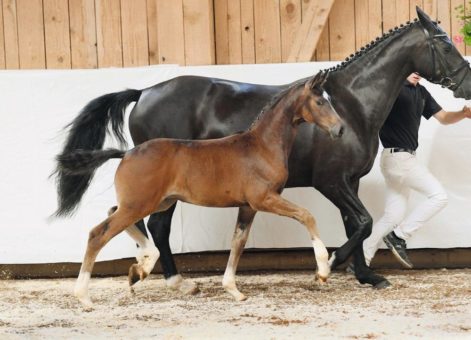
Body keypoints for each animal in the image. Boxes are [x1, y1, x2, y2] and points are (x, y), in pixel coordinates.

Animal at [55, 71, 344, 308]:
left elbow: (238, 242)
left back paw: (142, 267)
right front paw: (322, 270)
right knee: (99, 234)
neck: (261, 146)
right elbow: (306, 216)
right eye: (320, 102)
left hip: (153, 202)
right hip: (140, 204)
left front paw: (233, 290)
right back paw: (85, 296)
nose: (340, 129)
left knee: (116, 213)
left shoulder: (247, 206)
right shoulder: (264, 199)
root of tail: (126, 152)